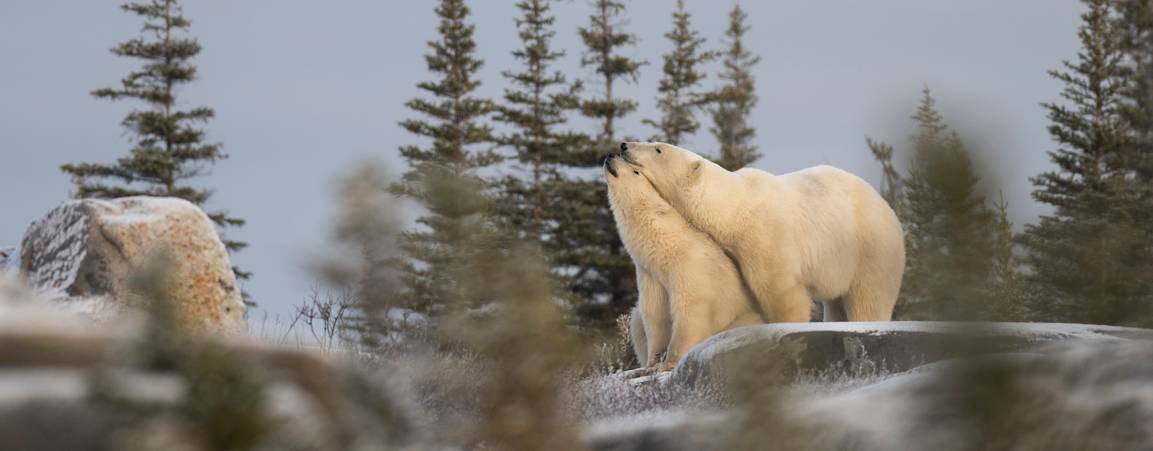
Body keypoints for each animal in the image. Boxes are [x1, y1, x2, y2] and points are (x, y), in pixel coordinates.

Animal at [604, 154, 765, 370]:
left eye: (635, 171)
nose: (611, 155)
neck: (668, 247)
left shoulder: (690, 266)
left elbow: (690, 310)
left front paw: (669, 362)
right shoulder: (650, 274)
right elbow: (653, 315)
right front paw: (651, 363)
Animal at [618, 142, 905, 323]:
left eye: (658, 148)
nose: (624, 145)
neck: (736, 206)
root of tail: (888, 208)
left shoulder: (765, 237)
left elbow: (781, 293)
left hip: (870, 250)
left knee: (869, 298)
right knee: (835, 302)